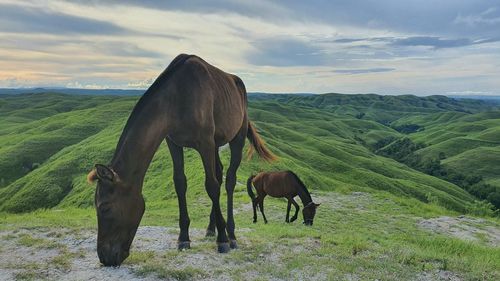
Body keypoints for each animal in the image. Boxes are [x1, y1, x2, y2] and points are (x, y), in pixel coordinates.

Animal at [86, 53, 274, 266]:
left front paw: (223, 239)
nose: (104, 257)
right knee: (219, 172)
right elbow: (180, 183)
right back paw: (211, 228)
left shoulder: (205, 142)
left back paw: (231, 233)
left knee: (229, 180)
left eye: (105, 208)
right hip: (216, 144)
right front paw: (184, 237)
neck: (176, 98)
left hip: (237, 137)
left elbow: (211, 186)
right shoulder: (173, 142)